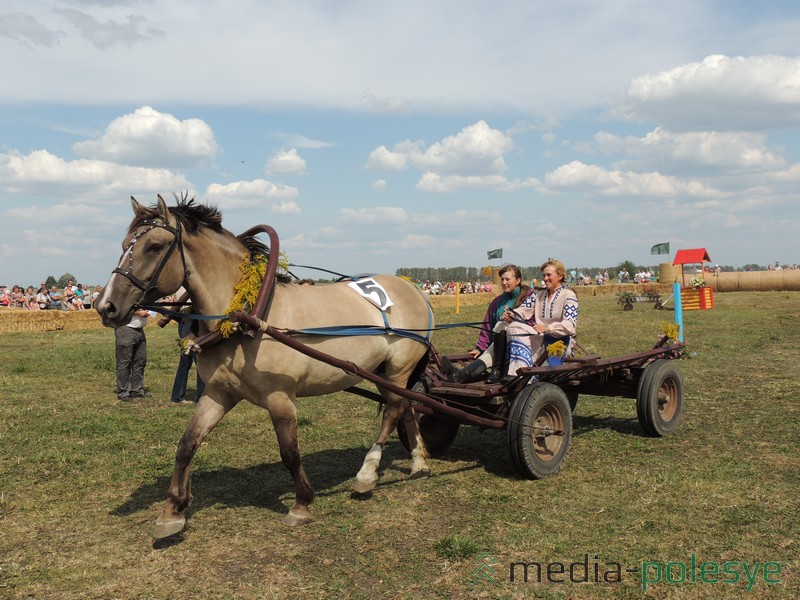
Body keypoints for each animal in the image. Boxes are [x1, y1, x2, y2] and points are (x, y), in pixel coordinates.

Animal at [96, 197, 434, 540]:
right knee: (405, 406)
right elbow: (186, 445)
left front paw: (301, 503)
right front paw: (172, 512)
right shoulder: (218, 393)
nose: (105, 306)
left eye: (154, 246)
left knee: (393, 410)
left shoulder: (280, 397)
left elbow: (290, 452)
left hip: (399, 367)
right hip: (382, 371)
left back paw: (367, 473)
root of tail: (413, 289)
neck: (247, 315)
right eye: (124, 245)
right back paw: (419, 462)